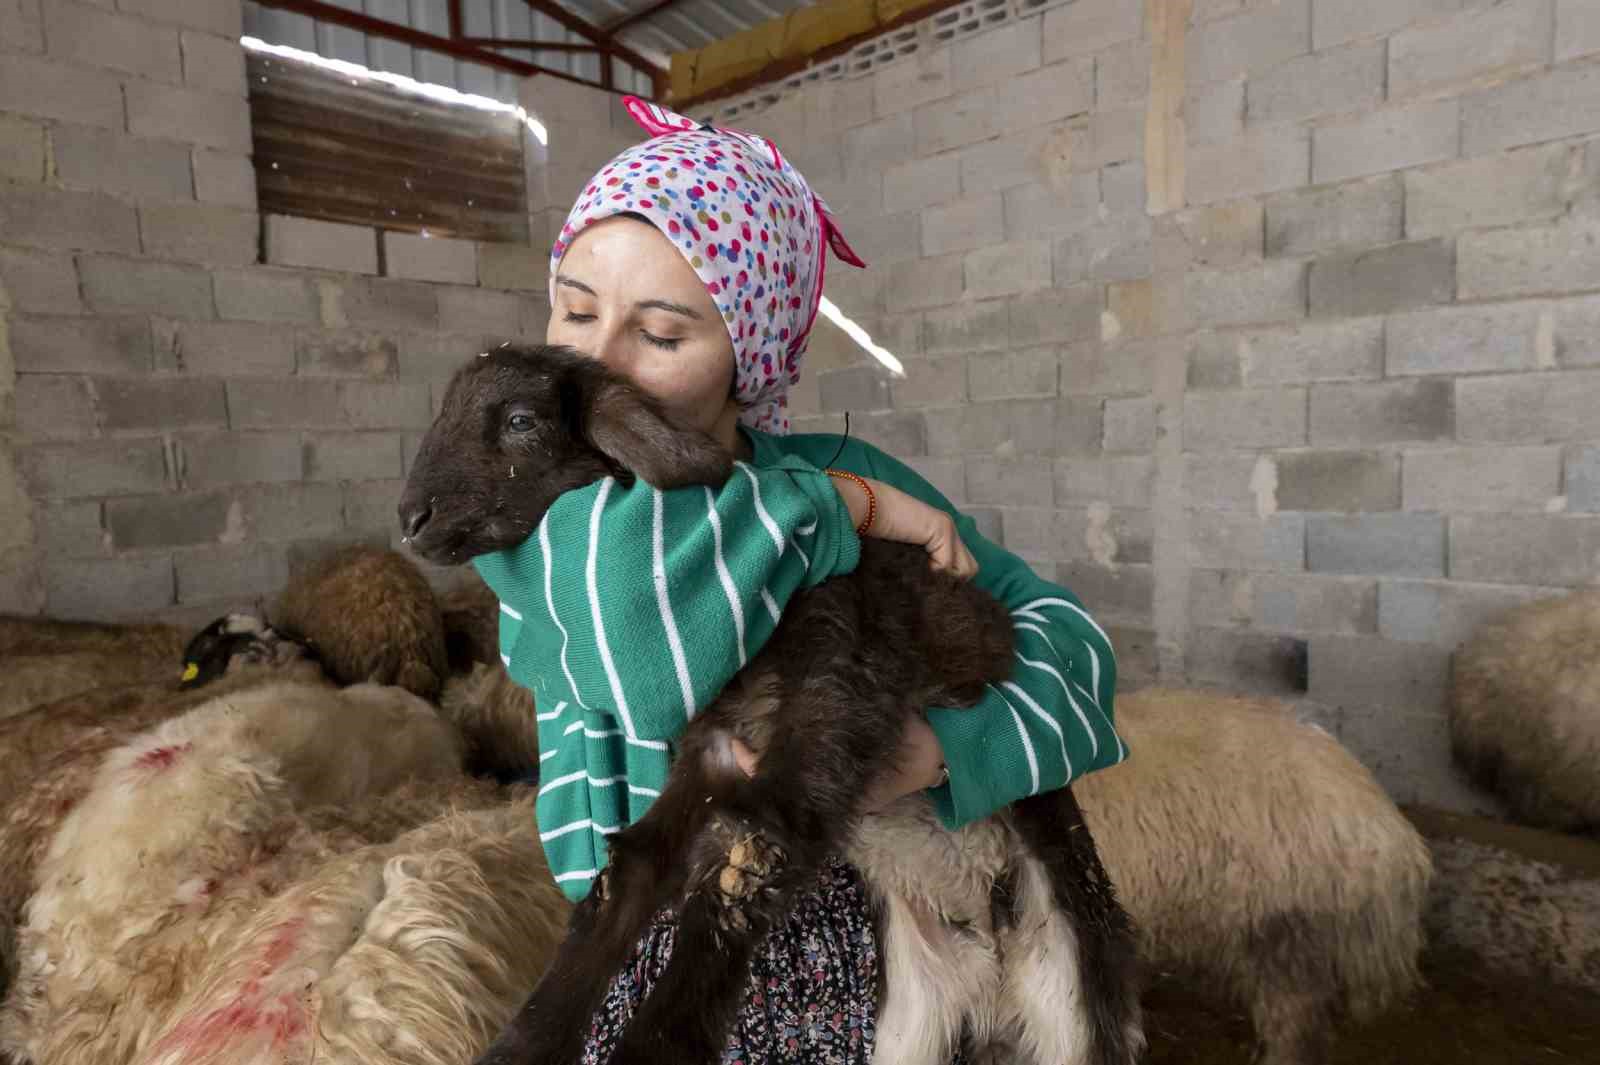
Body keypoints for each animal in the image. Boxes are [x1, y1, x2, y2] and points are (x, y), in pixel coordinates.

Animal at [398, 343, 1145, 1061]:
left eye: (521, 421)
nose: (410, 517)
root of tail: (993, 976)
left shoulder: (829, 708)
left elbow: (750, 859)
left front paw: (654, 1046)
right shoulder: (715, 752)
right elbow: (629, 872)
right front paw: (521, 1043)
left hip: (1073, 989)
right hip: (914, 1018)